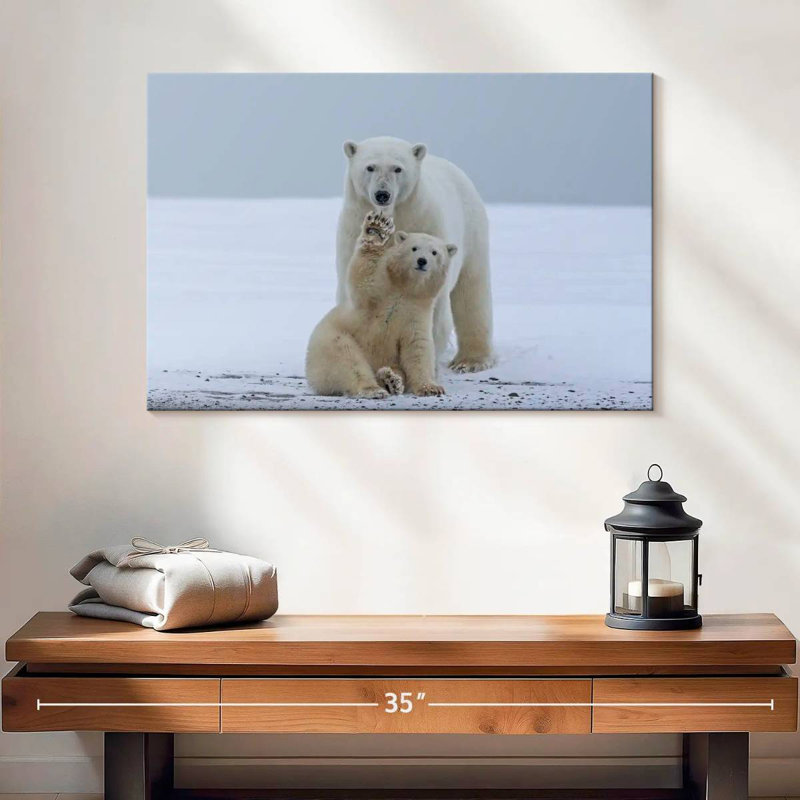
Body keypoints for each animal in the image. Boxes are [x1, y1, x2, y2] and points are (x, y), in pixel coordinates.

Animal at [306, 211, 457, 398]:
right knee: (347, 359)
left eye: (434, 252)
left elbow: (418, 347)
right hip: (332, 339)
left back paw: (391, 380)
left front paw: (431, 387)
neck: (405, 289)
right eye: (414, 248)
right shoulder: (379, 293)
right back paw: (373, 388)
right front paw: (377, 228)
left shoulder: (417, 312)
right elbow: (364, 277)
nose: (422, 261)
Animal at [336, 136, 494, 373]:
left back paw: (471, 361)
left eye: (397, 168)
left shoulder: (424, 221)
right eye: (370, 167)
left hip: (472, 231)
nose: (382, 194)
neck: (394, 214)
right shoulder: (352, 228)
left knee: (472, 290)